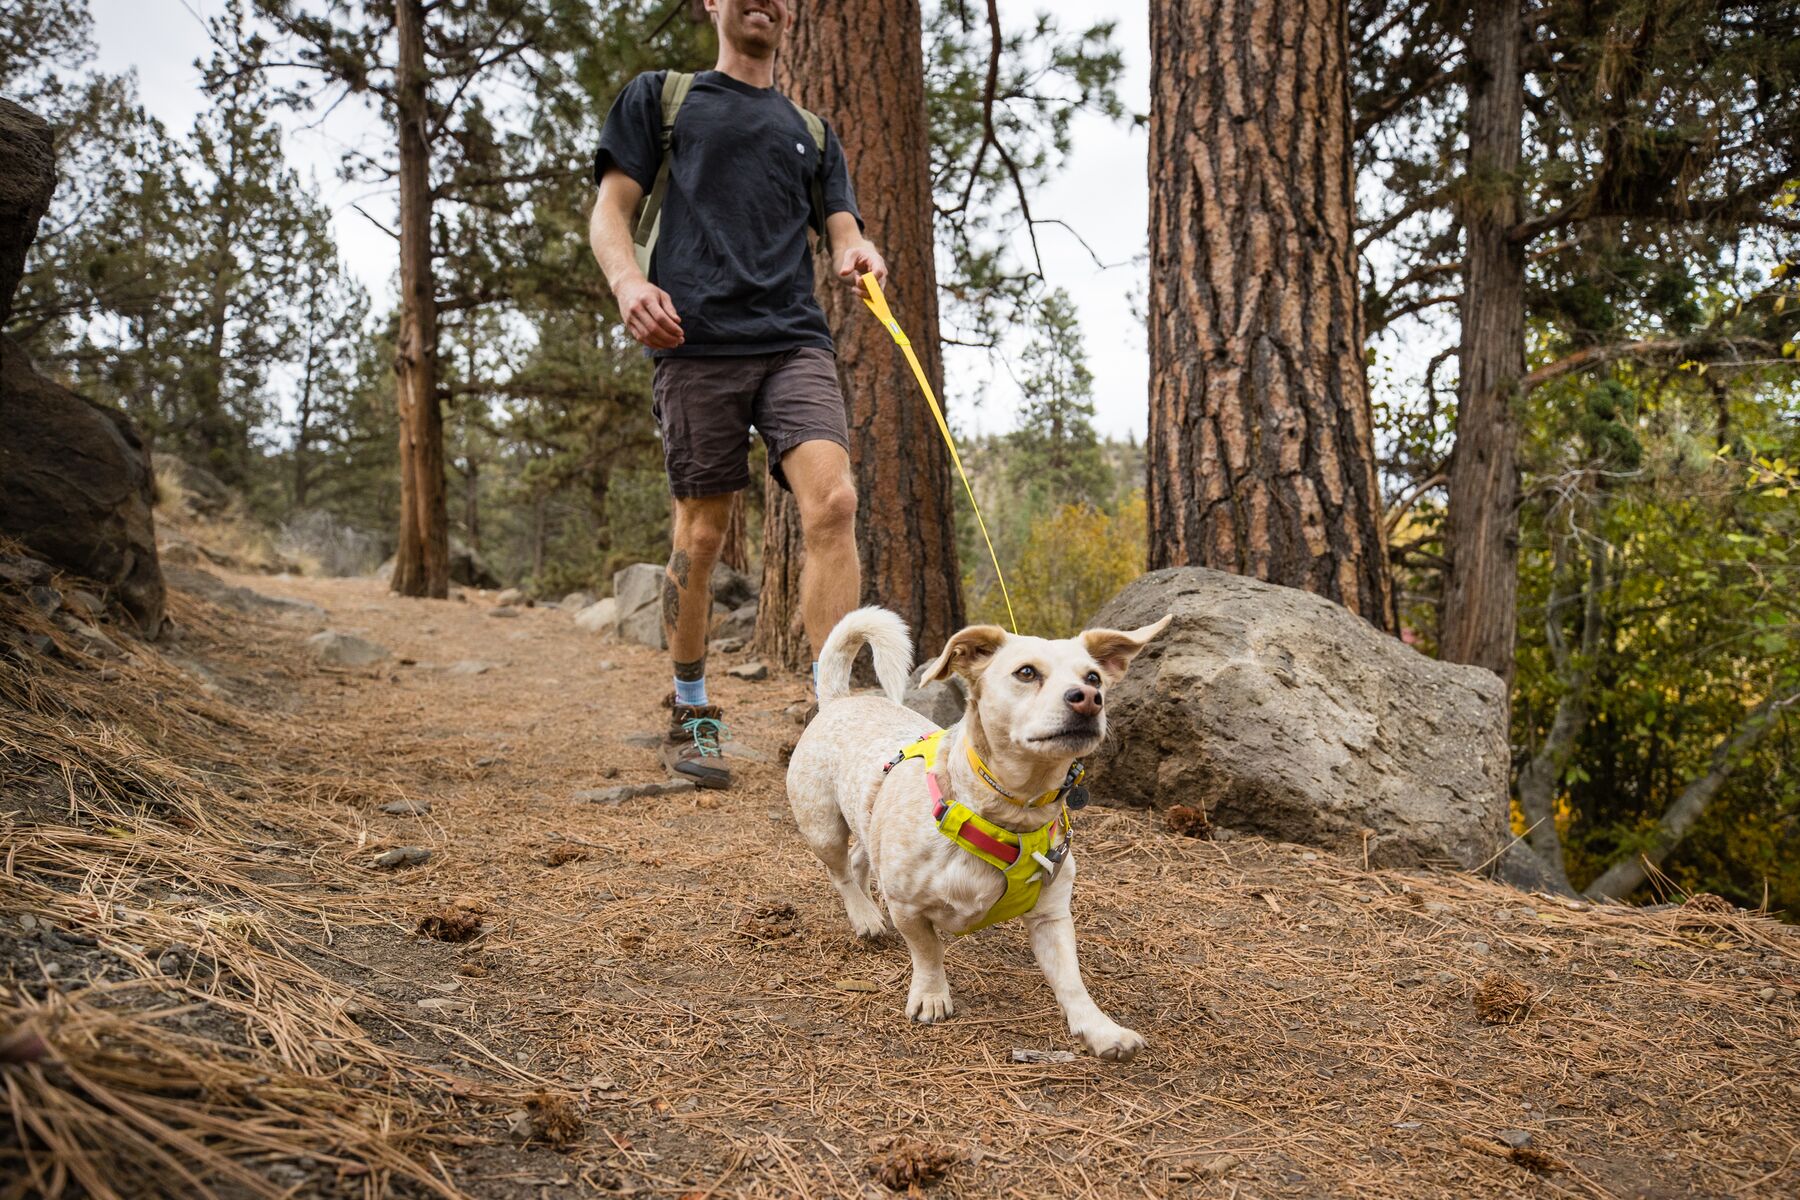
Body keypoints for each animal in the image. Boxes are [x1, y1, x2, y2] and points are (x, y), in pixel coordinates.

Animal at [784, 611, 1166, 1057]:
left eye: (1094, 677)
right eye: (1026, 672)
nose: (1088, 698)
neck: (1007, 815)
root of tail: (841, 699)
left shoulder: (1051, 917)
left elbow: (1071, 980)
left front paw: (1100, 1029)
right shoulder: (907, 909)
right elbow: (928, 952)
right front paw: (932, 996)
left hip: (864, 819)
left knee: (861, 861)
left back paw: (867, 909)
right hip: (823, 827)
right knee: (841, 872)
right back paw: (862, 914)